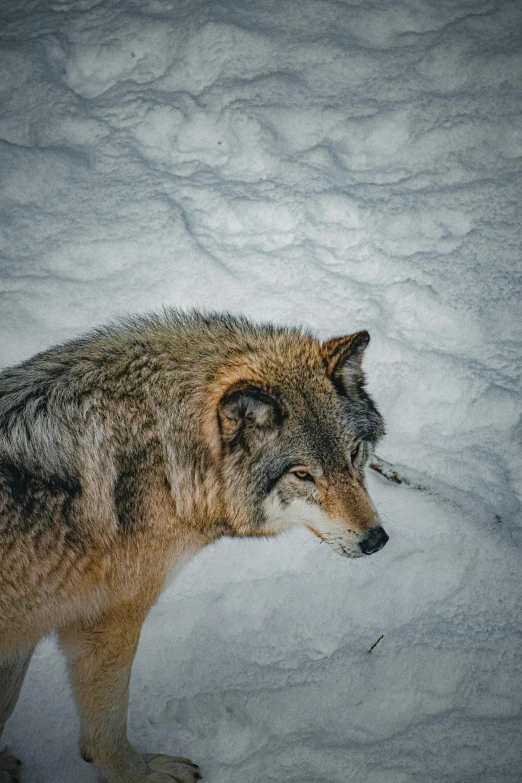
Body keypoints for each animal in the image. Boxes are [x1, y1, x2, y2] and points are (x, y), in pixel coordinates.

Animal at [0, 312, 386, 783]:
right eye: (302, 474)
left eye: (354, 453)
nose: (376, 539)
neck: (165, 454)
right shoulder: (103, 622)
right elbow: (105, 729)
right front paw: (141, 775)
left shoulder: (27, 627)